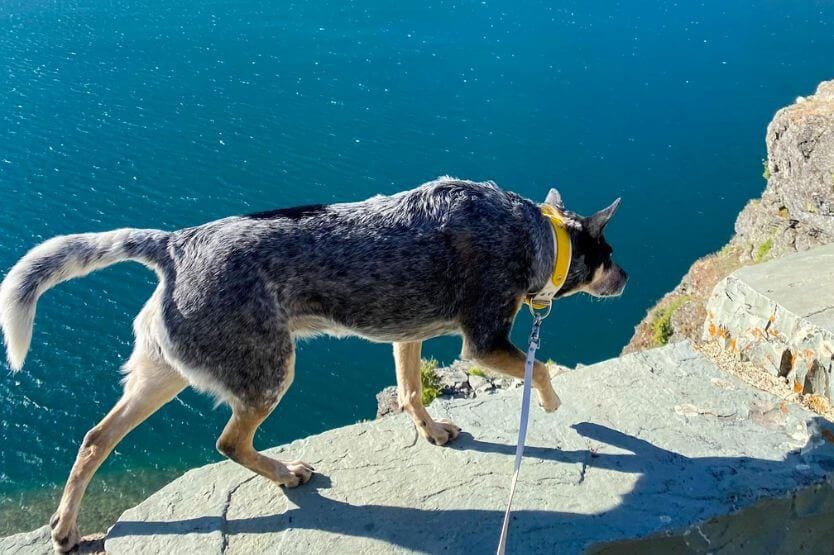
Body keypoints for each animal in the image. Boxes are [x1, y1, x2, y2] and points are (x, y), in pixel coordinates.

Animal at [0, 178, 624, 552]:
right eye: (612, 257)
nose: (627, 278)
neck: (536, 230)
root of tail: (175, 244)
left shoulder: (408, 336)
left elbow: (411, 392)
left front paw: (431, 431)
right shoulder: (485, 343)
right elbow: (539, 369)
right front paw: (551, 403)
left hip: (164, 374)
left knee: (94, 440)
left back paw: (65, 528)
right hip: (270, 372)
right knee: (228, 442)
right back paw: (285, 474)